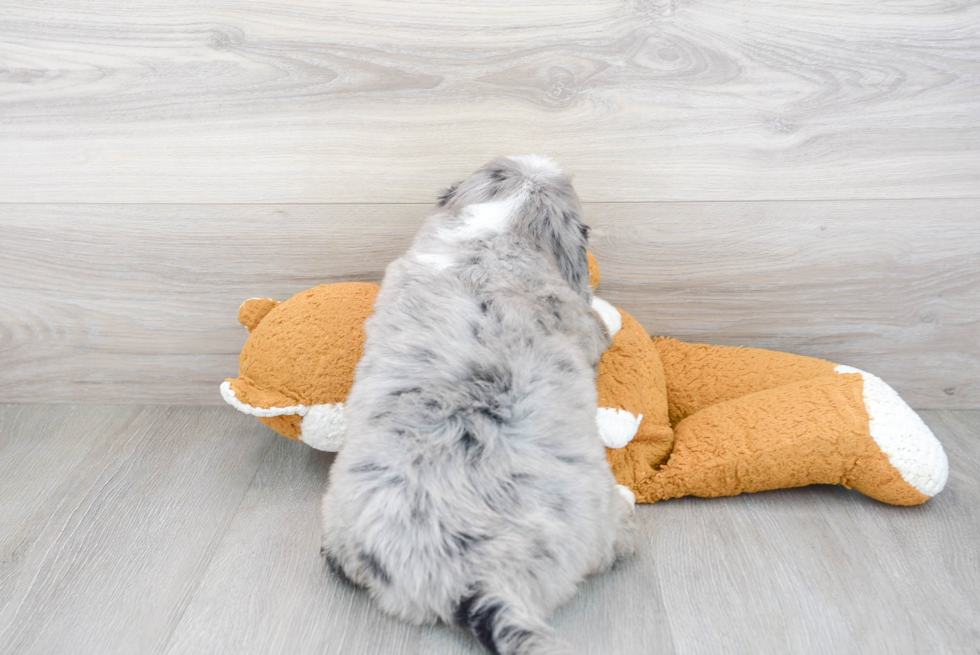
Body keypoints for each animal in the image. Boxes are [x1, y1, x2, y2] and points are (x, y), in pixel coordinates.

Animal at [324, 155, 636, 655]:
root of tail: (476, 581)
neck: (496, 229)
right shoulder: (579, 323)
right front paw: (610, 309)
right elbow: (598, 320)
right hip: (598, 526)